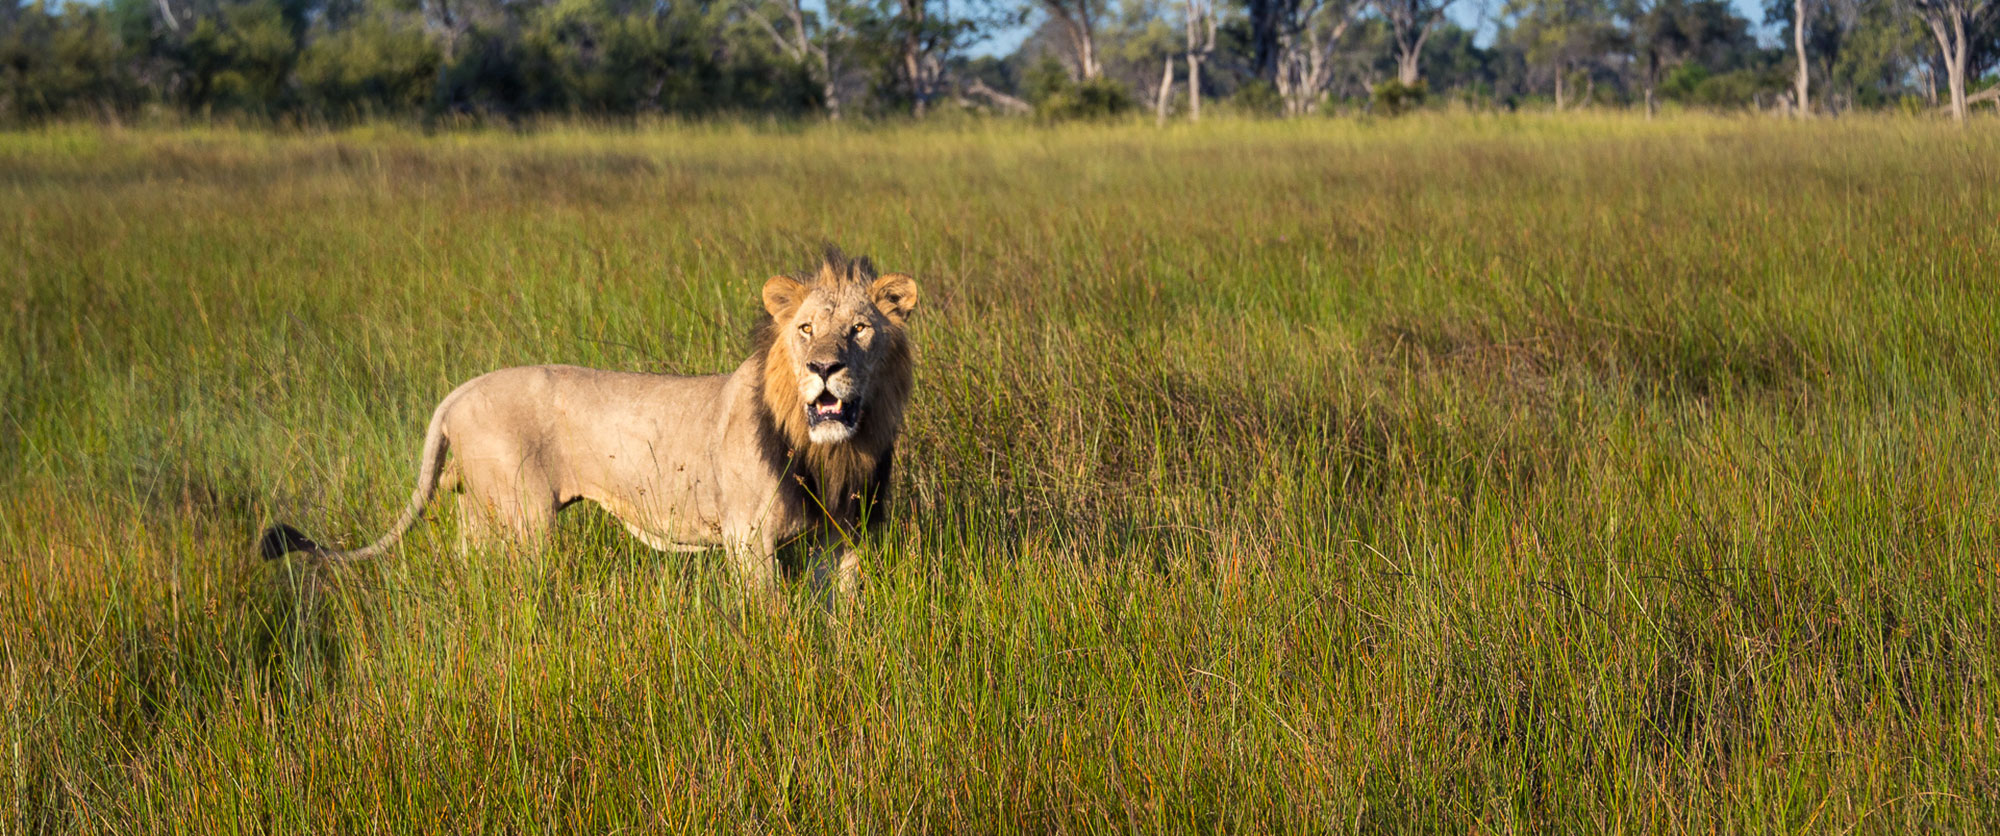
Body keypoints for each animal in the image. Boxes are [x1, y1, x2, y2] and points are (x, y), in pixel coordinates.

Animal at [260, 248, 920, 596]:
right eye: (805, 328)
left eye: (860, 328)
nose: (824, 368)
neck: (834, 449)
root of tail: (459, 391)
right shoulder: (747, 539)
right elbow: (774, 620)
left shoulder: (845, 535)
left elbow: (844, 617)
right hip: (525, 519)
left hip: (478, 514)